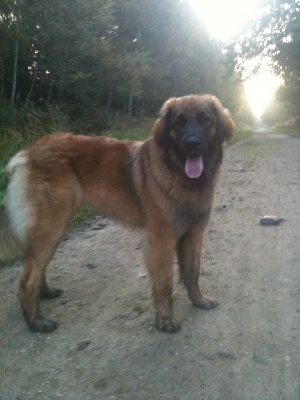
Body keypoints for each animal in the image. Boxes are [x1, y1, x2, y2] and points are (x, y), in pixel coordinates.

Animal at [0, 95, 234, 332]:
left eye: (205, 120)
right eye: (179, 122)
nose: (192, 144)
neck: (180, 175)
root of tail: (28, 152)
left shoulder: (194, 233)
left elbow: (192, 272)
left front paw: (199, 300)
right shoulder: (161, 240)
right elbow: (165, 282)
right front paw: (165, 320)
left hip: (54, 229)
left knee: (37, 268)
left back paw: (45, 294)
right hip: (52, 226)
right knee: (28, 278)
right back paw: (36, 322)